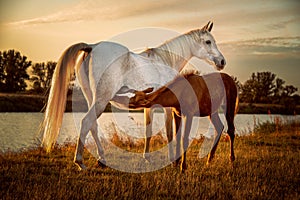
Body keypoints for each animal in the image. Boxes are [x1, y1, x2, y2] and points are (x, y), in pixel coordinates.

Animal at [41, 21, 226, 170]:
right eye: (208, 41)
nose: (222, 62)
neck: (164, 61)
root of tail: (91, 46)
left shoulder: (150, 107)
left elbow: (148, 131)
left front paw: (147, 158)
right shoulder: (168, 107)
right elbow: (169, 132)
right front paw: (173, 160)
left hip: (91, 98)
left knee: (92, 125)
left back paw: (102, 159)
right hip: (101, 100)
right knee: (87, 122)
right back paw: (80, 162)